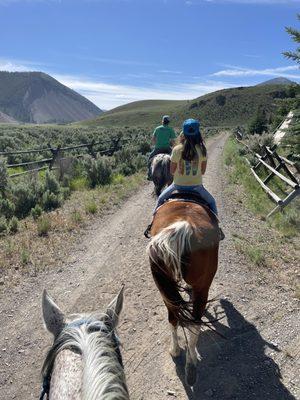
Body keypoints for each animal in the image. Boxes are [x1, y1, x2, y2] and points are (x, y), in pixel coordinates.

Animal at [147, 200, 219, 388]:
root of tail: (184, 226)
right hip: (202, 288)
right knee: (192, 322)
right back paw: (189, 362)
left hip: (167, 292)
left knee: (175, 318)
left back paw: (180, 355)